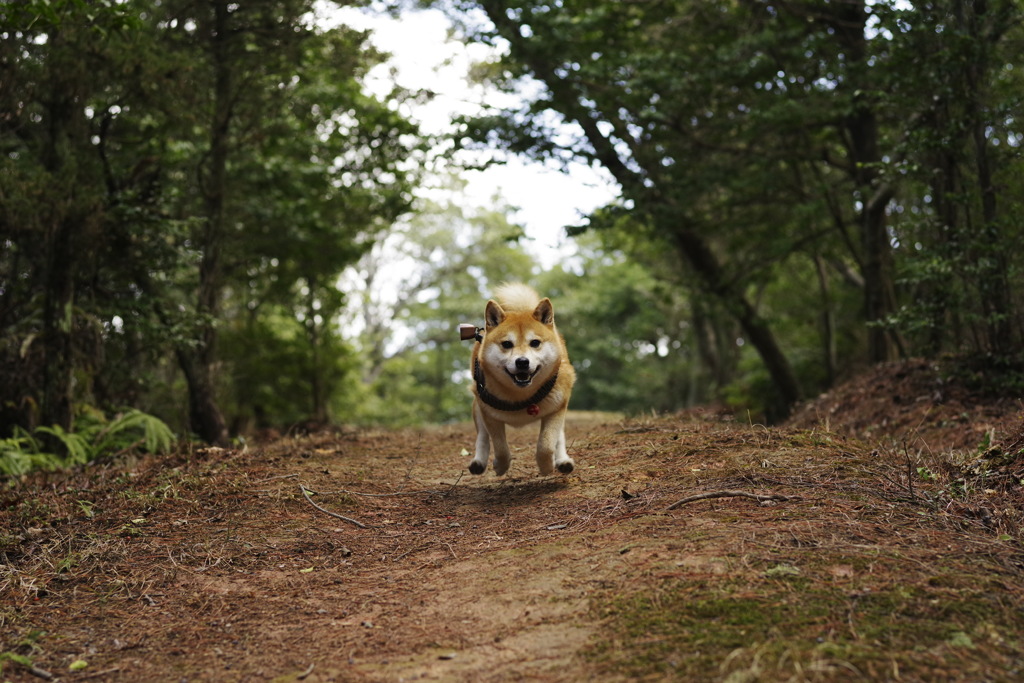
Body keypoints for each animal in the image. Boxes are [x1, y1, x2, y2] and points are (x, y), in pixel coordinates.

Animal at [466, 282, 577, 475]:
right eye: (506, 344)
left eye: (535, 343)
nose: (522, 362)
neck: (521, 395)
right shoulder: (489, 415)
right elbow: (500, 447)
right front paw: (501, 466)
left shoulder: (557, 408)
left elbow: (547, 444)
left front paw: (546, 466)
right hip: (478, 405)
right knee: (482, 436)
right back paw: (479, 462)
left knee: (560, 436)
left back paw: (563, 460)